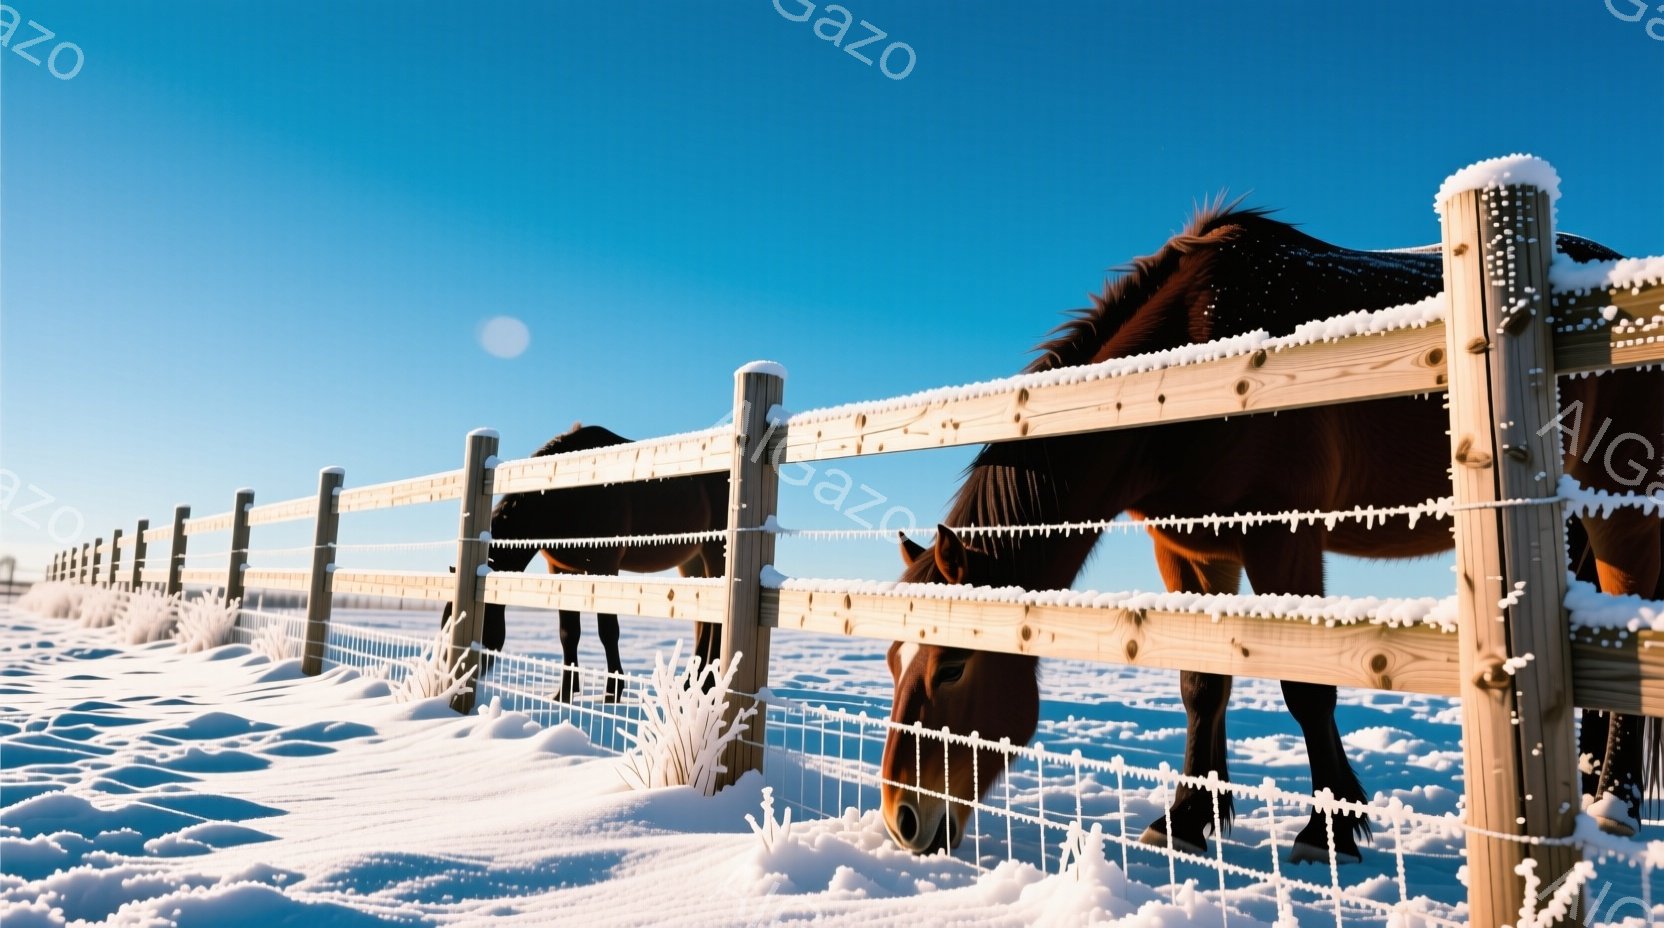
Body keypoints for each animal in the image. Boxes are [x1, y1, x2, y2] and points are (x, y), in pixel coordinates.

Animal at [441, 424, 728, 702]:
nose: (447, 677)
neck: (568, 494)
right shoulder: (562, 570)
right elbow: (568, 632)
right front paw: (564, 693)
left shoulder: (605, 566)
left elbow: (608, 631)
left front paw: (612, 692)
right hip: (693, 562)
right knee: (704, 618)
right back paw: (691, 683)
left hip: (716, 554)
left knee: (716, 621)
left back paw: (706, 686)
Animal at [879, 202, 1663, 865]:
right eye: (891, 658)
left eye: (953, 666)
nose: (902, 818)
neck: (1186, 368)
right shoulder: (1190, 552)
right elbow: (1203, 683)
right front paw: (1186, 819)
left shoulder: (1282, 539)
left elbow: (1305, 686)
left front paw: (1328, 827)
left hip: (1623, 505)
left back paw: (1615, 806)